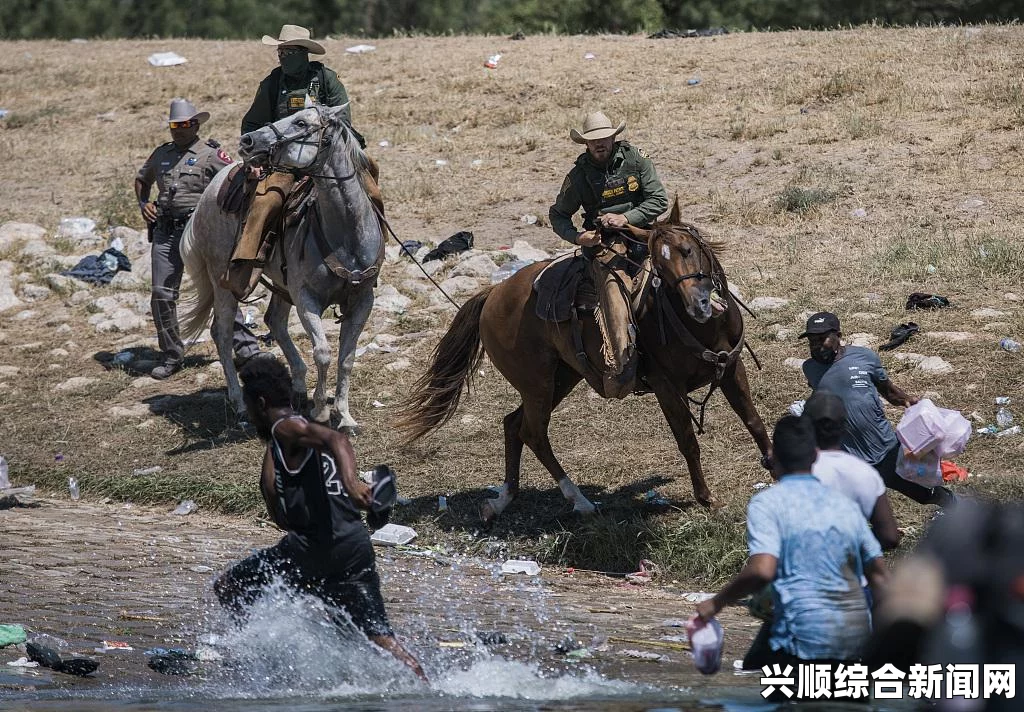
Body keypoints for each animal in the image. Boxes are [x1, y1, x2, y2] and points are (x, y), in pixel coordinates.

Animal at [179, 104, 380, 428]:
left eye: (300, 123)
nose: (248, 141)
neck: (346, 235)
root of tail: (209, 191)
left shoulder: (363, 299)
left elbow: (346, 357)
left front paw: (346, 416)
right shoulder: (306, 298)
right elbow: (323, 352)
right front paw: (321, 411)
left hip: (281, 284)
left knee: (274, 320)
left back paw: (297, 386)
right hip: (224, 282)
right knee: (222, 332)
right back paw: (239, 404)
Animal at [399, 202, 770, 520]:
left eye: (687, 250)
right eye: (659, 267)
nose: (699, 304)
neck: (700, 326)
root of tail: (492, 295)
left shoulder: (731, 368)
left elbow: (753, 420)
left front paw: (772, 464)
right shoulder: (667, 387)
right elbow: (687, 440)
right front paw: (706, 497)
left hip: (561, 378)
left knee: (513, 424)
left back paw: (502, 500)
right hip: (537, 384)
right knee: (533, 432)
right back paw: (579, 500)